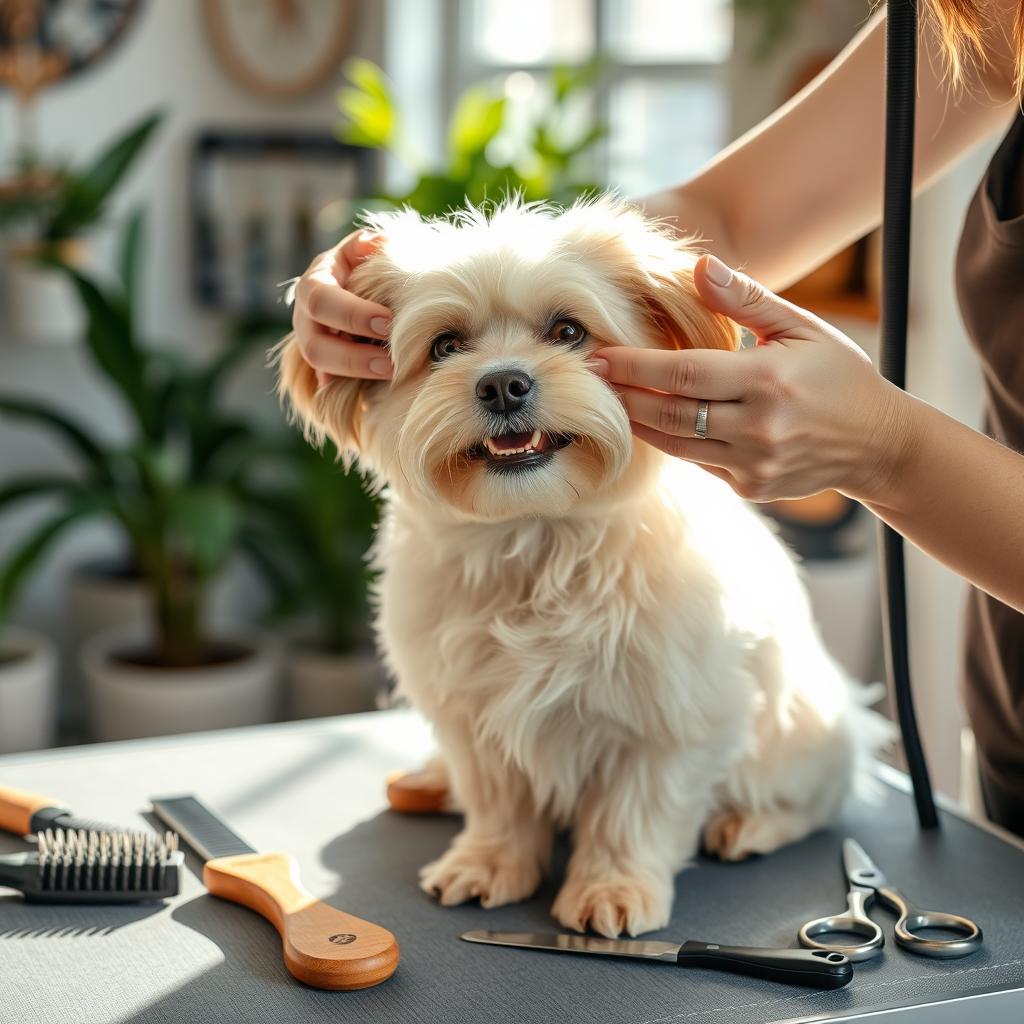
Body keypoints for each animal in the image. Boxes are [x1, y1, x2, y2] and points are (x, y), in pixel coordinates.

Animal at [278, 195, 888, 937]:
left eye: (567, 330)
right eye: (446, 346)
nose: (503, 384)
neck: (539, 539)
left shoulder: (674, 720)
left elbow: (635, 811)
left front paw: (612, 889)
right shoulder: (472, 715)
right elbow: (497, 800)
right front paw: (487, 862)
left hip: (806, 733)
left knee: (812, 800)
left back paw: (750, 825)